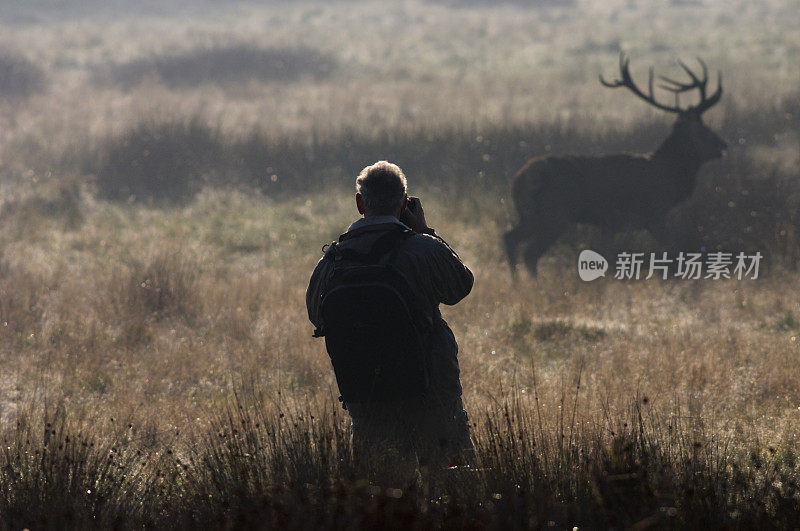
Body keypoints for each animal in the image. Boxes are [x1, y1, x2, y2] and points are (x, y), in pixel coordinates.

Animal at [506, 54, 724, 276]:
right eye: (703, 130)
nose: (722, 145)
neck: (668, 176)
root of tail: (520, 179)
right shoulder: (652, 214)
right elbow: (673, 248)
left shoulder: (610, 223)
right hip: (553, 215)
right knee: (530, 253)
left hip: (529, 215)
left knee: (510, 238)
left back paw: (517, 281)